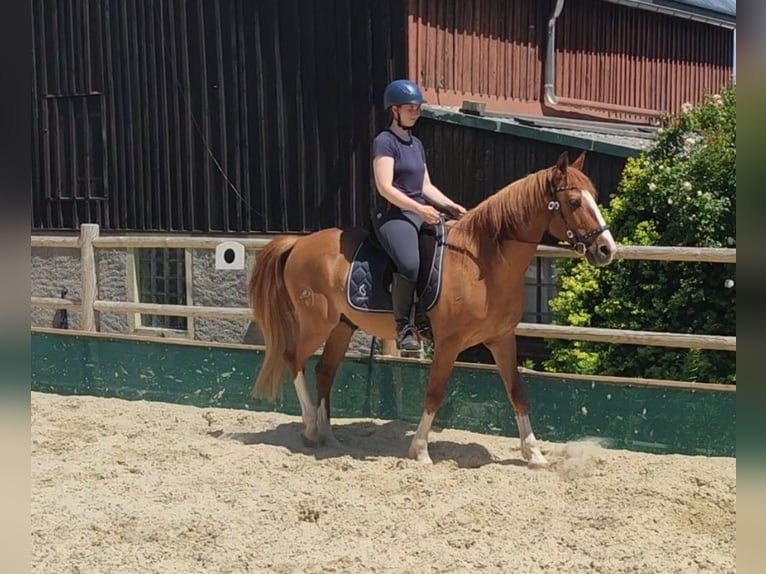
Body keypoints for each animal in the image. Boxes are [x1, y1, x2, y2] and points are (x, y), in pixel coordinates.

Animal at [247, 151, 616, 468]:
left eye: (594, 198)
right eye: (573, 202)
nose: (606, 249)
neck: (484, 263)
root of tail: (299, 243)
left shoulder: (502, 340)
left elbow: (517, 392)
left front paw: (534, 453)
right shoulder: (449, 343)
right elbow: (435, 392)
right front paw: (420, 450)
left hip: (342, 325)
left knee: (325, 370)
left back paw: (329, 436)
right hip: (316, 323)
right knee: (293, 358)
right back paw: (311, 427)